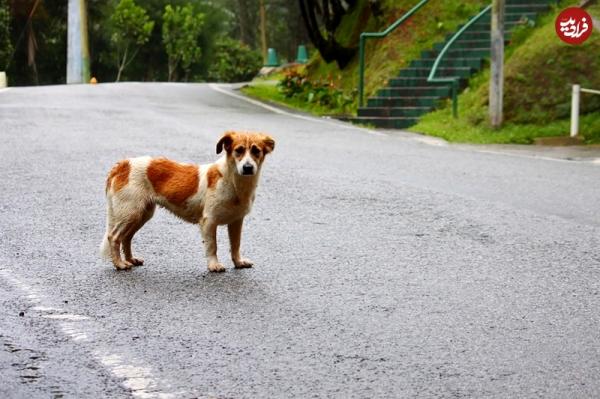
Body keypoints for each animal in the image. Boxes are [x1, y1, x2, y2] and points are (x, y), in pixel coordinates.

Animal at [100, 133, 274, 274]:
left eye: (256, 151)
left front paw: (238, 262)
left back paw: (130, 259)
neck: (232, 181)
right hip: (130, 213)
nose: (248, 167)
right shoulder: (209, 221)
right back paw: (120, 264)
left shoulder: (237, 221)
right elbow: (212, 246)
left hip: (141, 214)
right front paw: (213, 265)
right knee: (113, 237)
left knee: (126, 238)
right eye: (239, 150)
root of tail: (122, 164)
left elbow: (236, 244)